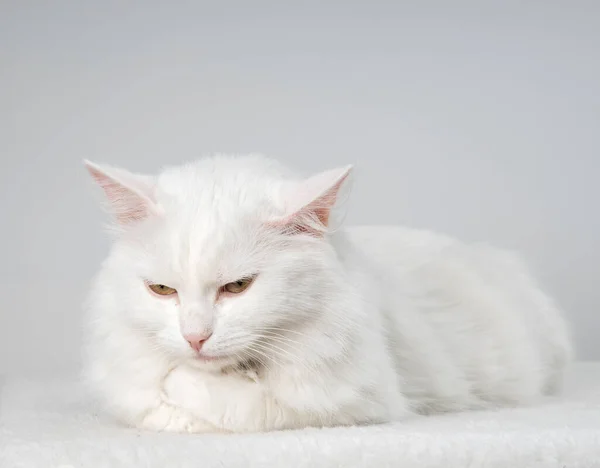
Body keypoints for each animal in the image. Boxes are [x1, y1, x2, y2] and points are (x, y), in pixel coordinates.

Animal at [82, 155, 576, 434]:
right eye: (162, 289)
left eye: (238, 286)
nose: (195, 338)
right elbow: (151, 404)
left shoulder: (354, 403)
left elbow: (242, 405)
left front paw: (185, 386)